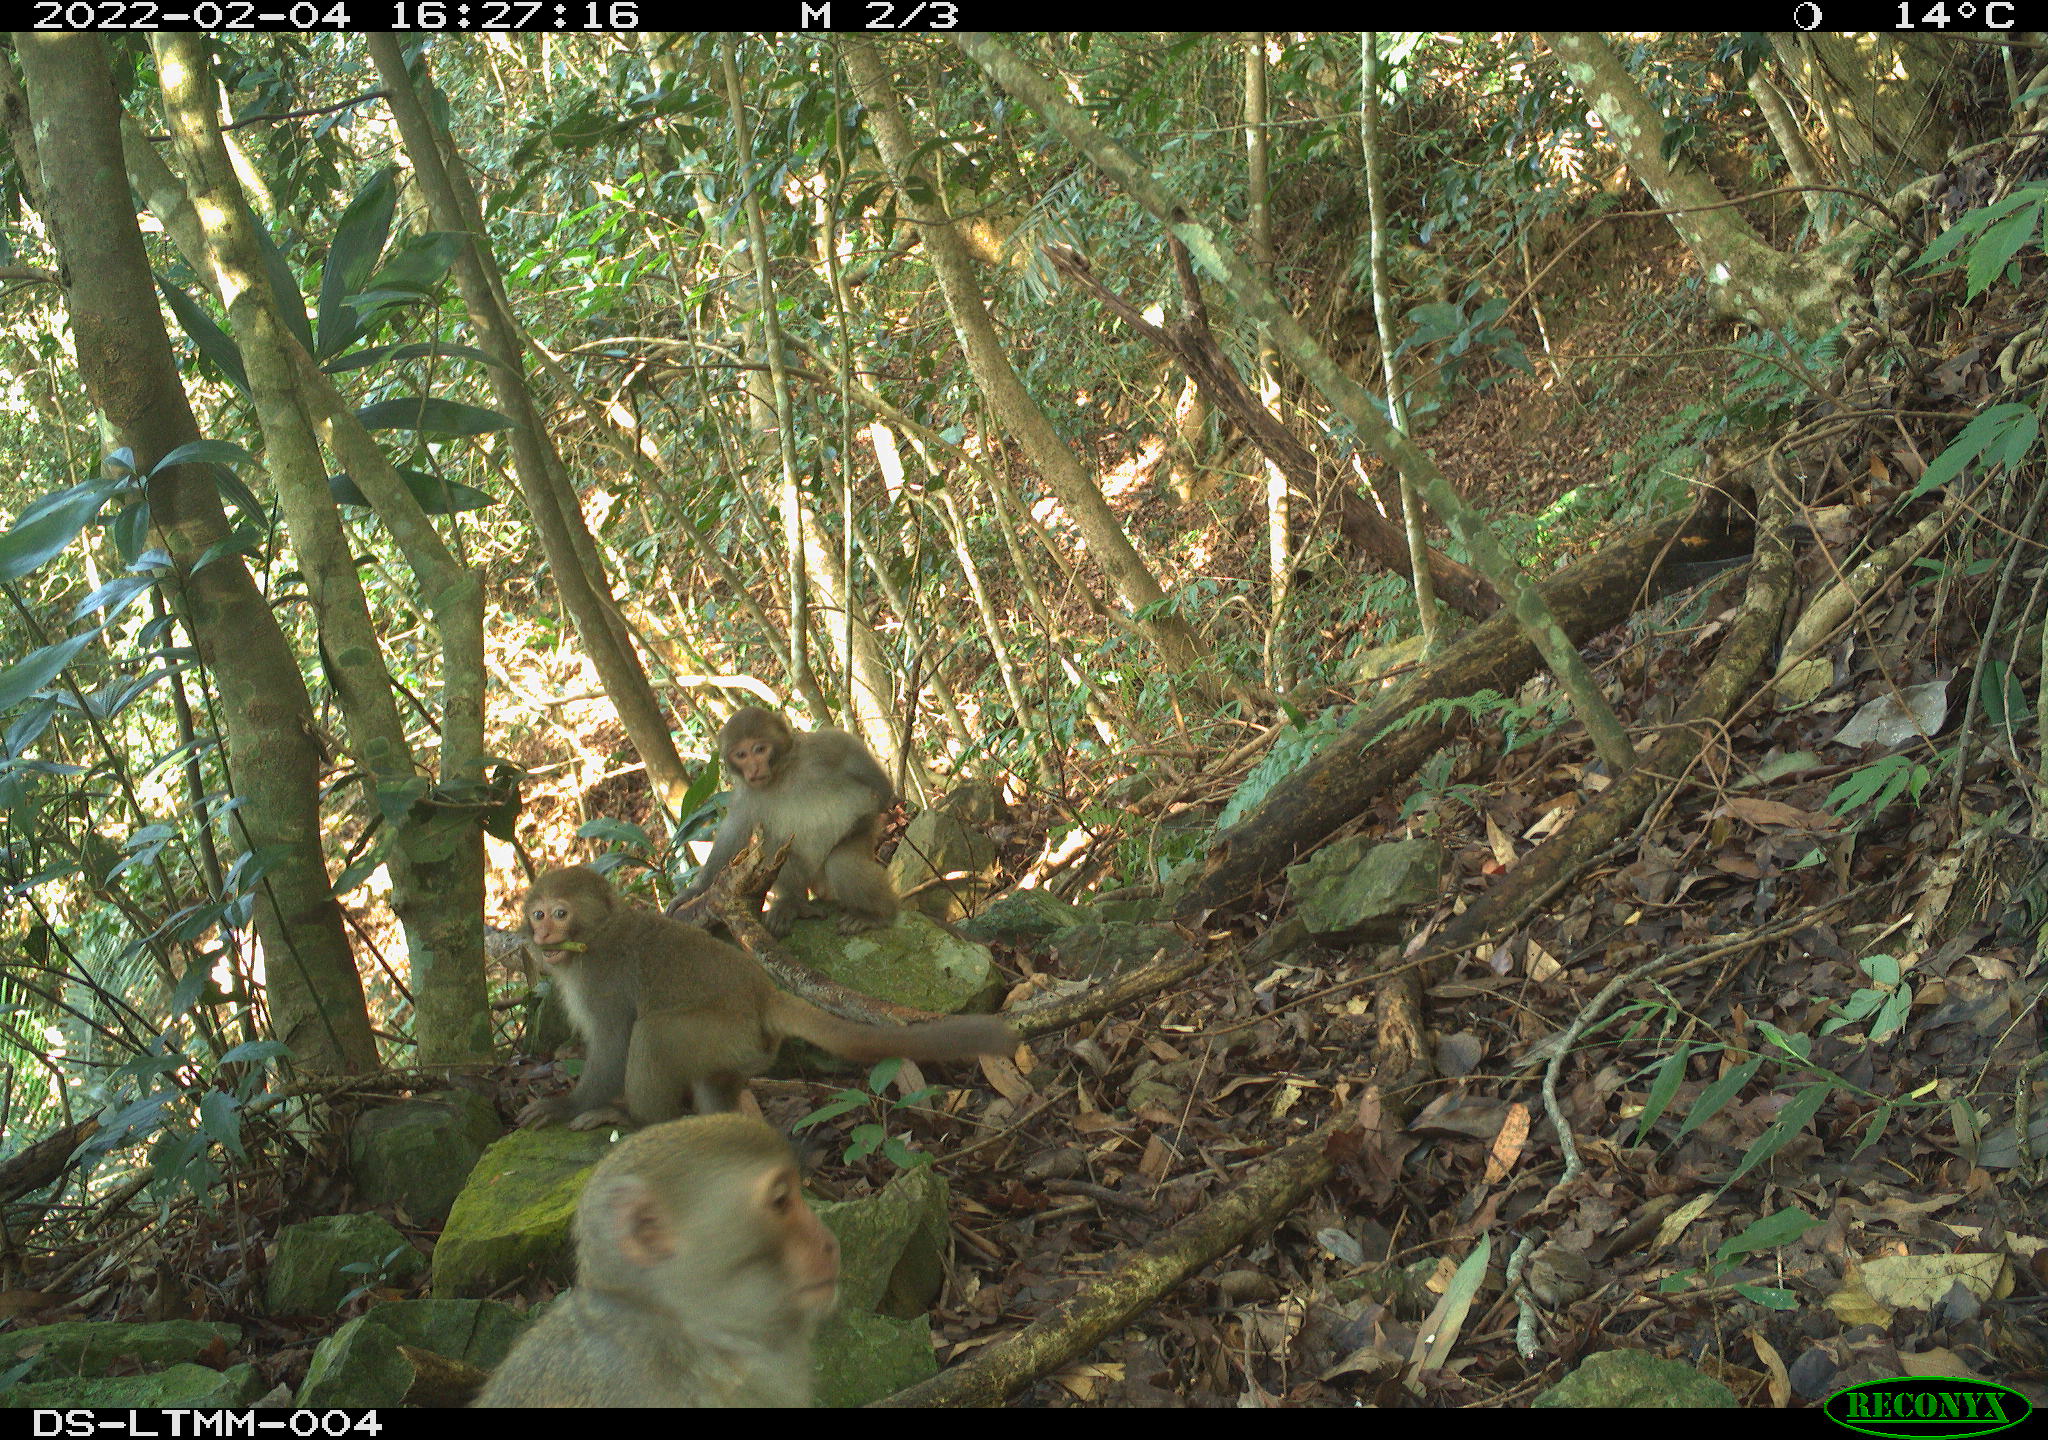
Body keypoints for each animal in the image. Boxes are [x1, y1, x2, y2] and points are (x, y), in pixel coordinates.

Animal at [520, 868, 1015, 1130]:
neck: (595, 936)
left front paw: (567, 1105)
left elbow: (614, 1041)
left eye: (560, 913)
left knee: (653, 1034)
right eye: (538, 914)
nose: (542, 935)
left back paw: (640, 1121)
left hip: (722, 1031)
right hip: (736, 1049)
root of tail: (762, 991)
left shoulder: (601, 979)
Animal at [675, 708, 901, 934]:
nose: (753, 768)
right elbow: (733, 836)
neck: (781, 772)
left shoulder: (829, 743)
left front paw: (869, 819)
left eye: (760, 749)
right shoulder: (745, 795)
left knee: (842, 863)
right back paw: (793, 903)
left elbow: (881, 786)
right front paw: (694, 891)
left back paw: (878, 915)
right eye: (741, 755)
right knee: (775, 847)